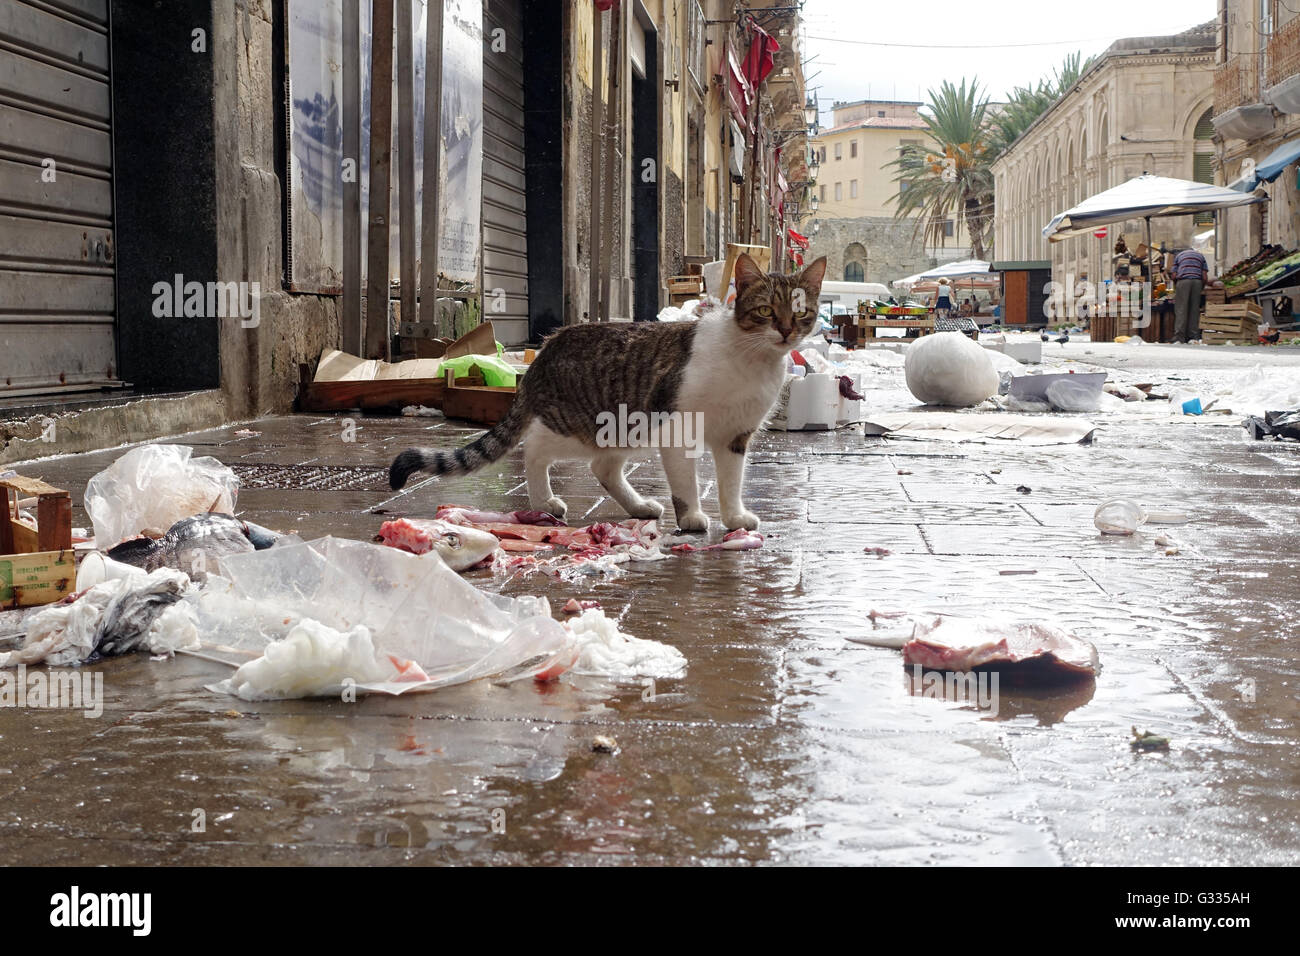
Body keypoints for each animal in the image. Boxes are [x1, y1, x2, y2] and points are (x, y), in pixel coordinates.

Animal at [390, 254, 826, 535]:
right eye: (766, 311)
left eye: (801, 312)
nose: (786, 330)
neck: (752, 359)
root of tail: (546, 348)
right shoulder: (677, 427)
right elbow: (685, 483)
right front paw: (691, 518)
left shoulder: (735, 436)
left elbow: (731, 482)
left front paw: (734, 518)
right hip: (589, 424)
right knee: (534, 449)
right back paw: (544, 501)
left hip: (625, 428)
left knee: (603, 468)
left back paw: (638, 506)